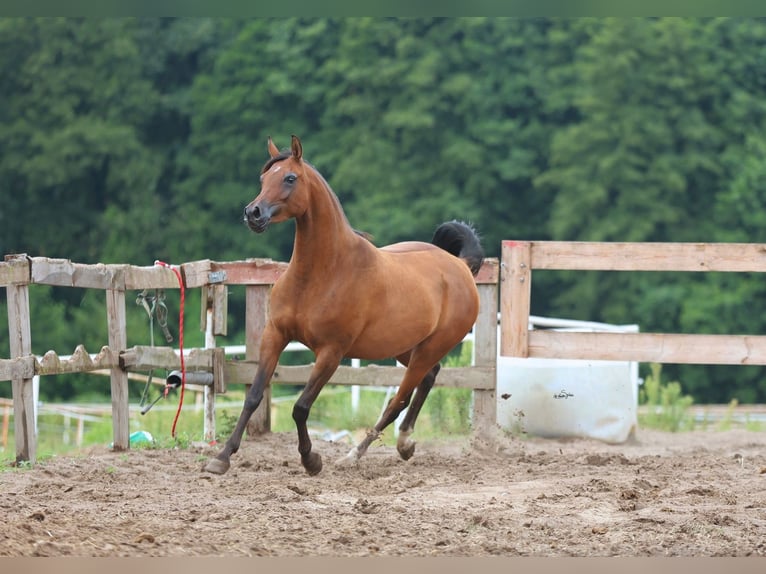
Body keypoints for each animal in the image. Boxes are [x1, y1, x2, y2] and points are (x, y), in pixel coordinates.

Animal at [204, 136, 480, 476]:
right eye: (263, 178)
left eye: (290, 178)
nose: (253, 213)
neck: (322, 273)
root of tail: (460, 266)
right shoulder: (275, 335)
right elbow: (253, 396)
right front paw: (221, 458)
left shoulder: (331, 352)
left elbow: (301, 407)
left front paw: (311, 460)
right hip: (405, 347)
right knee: (429, 378)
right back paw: (404, 443)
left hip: (430, 347)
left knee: (398, 400)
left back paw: (356, 454)